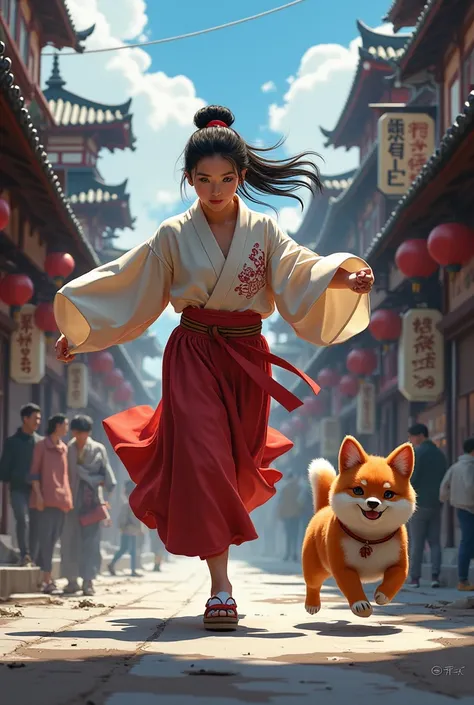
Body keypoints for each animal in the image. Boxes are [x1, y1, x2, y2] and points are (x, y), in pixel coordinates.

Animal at [304, 434, 414, 616]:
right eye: (358, 490)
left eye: (388, 494)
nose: (373, 503)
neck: (369, 538)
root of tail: (323, 508)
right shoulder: (343, 568)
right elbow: (351, 585)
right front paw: (361, 605)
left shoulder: (399, 563)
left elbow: (396, 579)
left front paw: (383, 595)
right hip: (315, 567)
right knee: (313, 583)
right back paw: (312, 604)